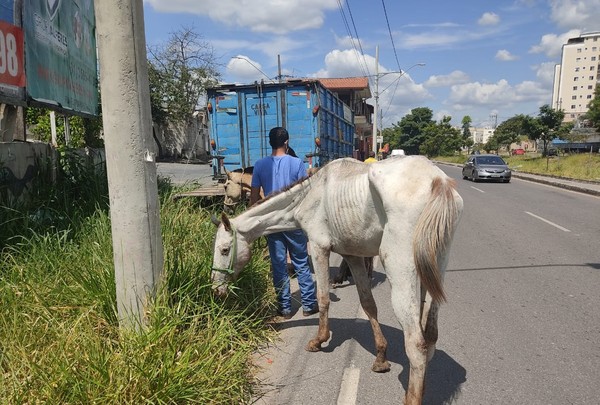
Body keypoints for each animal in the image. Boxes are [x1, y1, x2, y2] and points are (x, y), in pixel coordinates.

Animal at [211, 155, 464, 404]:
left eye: (224, 250)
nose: (215, 290)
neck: (308, 194)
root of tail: (437, 181)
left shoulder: (319, 247)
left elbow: (323, 298)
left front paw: (319, 340)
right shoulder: (353, 256)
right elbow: (368, 304)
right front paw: (381, 357)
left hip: (400, 271)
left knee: (416, 345)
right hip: (435, 268)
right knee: (430, 336)